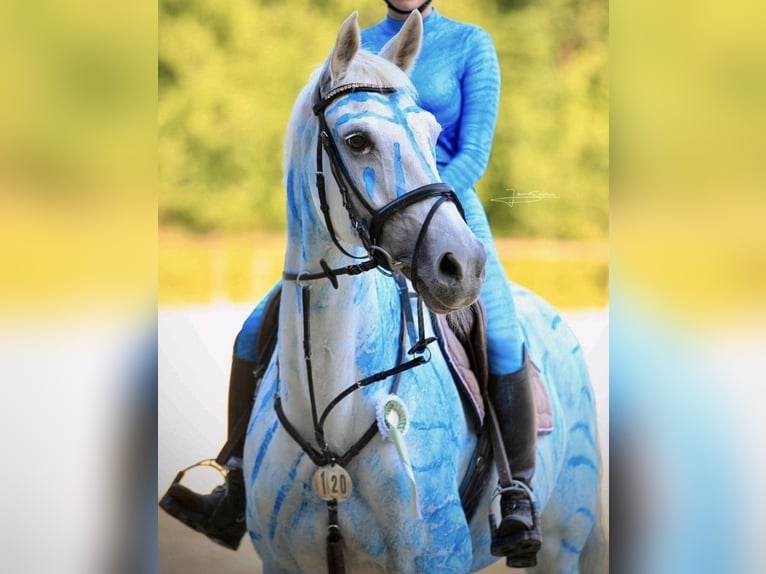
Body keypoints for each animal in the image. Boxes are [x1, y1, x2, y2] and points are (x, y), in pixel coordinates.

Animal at [243, 11, 606, 574]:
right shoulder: (281, 562)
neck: (331, 422)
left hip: (563, 544)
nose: (465, 265)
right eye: (356, 140)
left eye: (434, 134)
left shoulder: (435, 556)